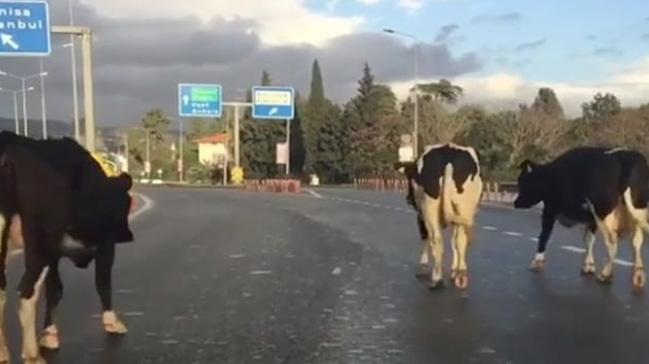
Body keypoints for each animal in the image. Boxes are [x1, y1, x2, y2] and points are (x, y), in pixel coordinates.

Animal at [0, 132, 134, 362]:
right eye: (125, 204)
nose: (127, 236)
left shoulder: (54, 255)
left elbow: (55, 289)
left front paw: (49, 334)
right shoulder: (105, 244)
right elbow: (103, 281)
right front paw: (112, 322)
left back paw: (3, 351)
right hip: (38, 242)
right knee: (27, 291)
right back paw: (32, 355)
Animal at [394, 144, 480, 288]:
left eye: (409, 176)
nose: (408, 198)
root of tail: (449, 151)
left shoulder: (420, 215)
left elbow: (425, 237)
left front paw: (422, 266)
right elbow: (454, 242)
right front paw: (454, 270)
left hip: (429, 208)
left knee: (436, 238)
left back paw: (437, 278)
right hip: (464, 207)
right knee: (461, 239)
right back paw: (461, 274)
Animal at [512, 146, 648, 288]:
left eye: (522, 180)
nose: (516, 203)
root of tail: (624, 155)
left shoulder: (550, 208)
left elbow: (544, 234)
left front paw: (537, 261)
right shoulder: (591, 218)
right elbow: (589, 239)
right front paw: (588, 266)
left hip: (603, 211)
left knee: (612, 240)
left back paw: (605, 275)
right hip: (637, 209)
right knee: (637, 241)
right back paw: (638, 276)